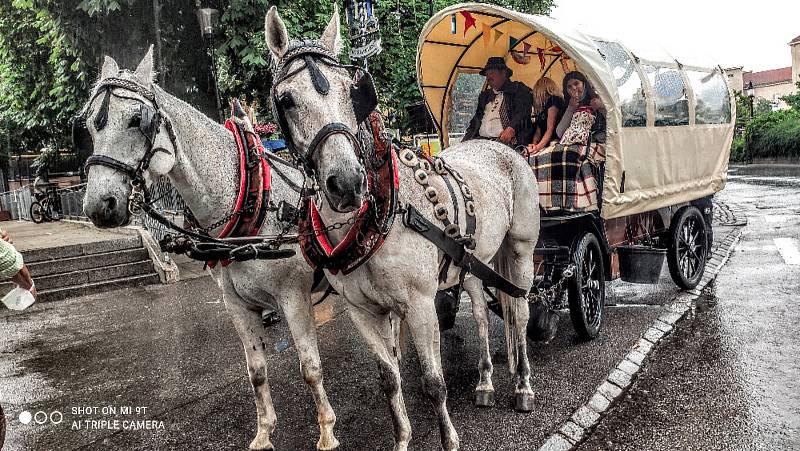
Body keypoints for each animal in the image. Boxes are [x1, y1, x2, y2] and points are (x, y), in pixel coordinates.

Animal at [81, 46, 340, 451]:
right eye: (91, 124)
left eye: (138, 120)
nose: (98, 206)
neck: (250, 200)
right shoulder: (236, 304)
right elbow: (256, 371)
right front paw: (264, 432)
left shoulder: (294, 296)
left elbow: (310, 368)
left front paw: (327, 431)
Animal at [268, 7, 536, 451]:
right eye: (286, 100)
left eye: (352, 91)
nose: (348, 183)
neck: (380, 217)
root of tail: (499, 145)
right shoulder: (364, 312)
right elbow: (390, 380)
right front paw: (402, 437)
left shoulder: (420, 304)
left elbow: (433, 382)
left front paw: (449, 439)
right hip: (474, 260)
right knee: (483, 315)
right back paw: (485, 381)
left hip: (520, 251)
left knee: (520, 312)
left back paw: (524, 386)